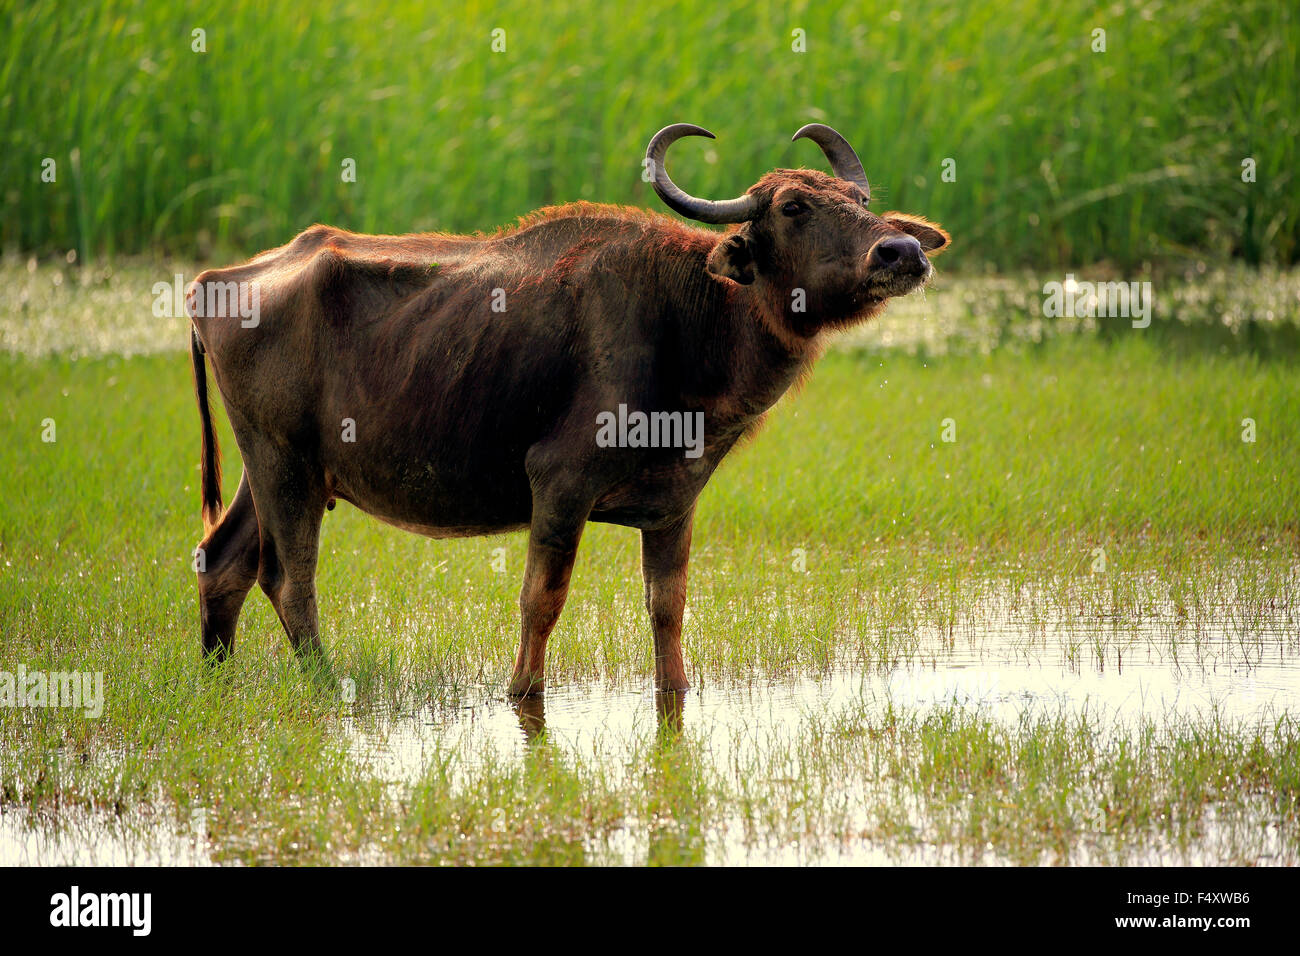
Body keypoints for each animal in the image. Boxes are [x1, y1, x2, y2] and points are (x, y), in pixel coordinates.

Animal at [188, 125, 951, 697]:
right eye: (793, 207)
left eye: (860, 198)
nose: (902, 250)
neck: (690, 320)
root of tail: (215, 282)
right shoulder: (559, 484)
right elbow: (542, 601)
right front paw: (521, 692)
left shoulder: (674, 505)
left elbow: (667, 609)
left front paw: (675, 690)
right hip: (283, 463)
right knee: (289, 580)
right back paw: (324, 682)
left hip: (273, 470)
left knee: (222, 562)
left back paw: (218, 679)